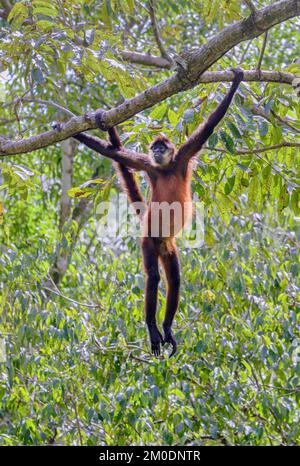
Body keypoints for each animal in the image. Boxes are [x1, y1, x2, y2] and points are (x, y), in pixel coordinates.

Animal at [72, 67, 244, 356]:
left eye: (161, 147)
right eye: (154, 148)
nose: (156, 150)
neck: (165, 169)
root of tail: (161, 240)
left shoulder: (182, 157)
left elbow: (208, 127)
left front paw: (235, 81)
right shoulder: (149, 166)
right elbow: (116, 154)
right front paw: (74, 133)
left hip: (168, 247)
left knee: (174, 279)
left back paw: (166, 328)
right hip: (149, 241)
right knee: (153, 277)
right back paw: (153, 329)